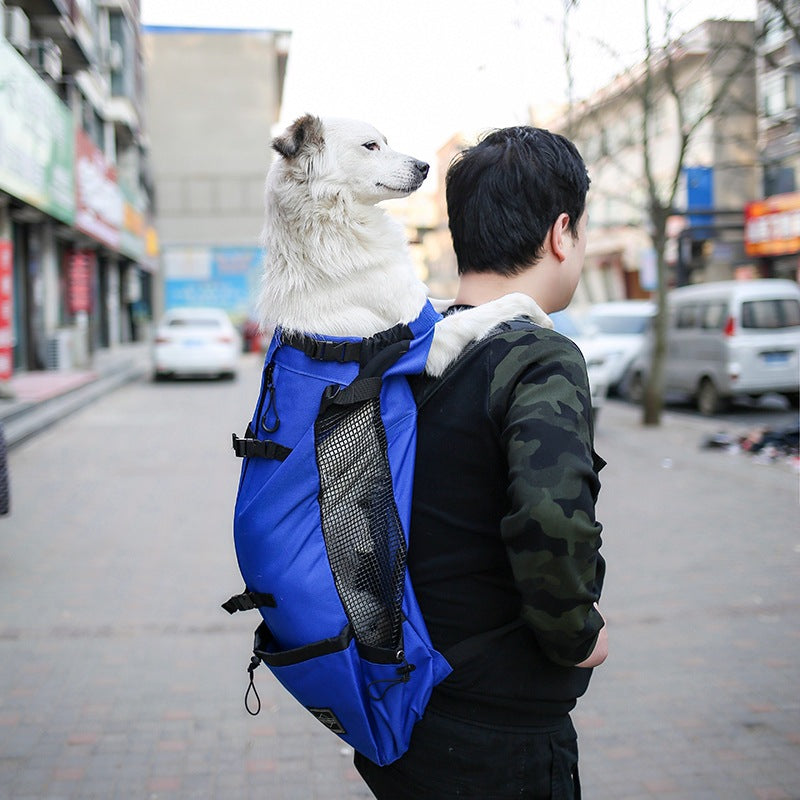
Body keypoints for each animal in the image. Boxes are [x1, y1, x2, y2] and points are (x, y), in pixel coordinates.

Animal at [256, 114, 552, 376]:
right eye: (371, 145)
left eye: (386, 142)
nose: (425, 166)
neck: (336, 221)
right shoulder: (430, 341)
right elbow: (511, 299)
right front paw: (543, 318)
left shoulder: (423, 308)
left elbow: (457, 302)